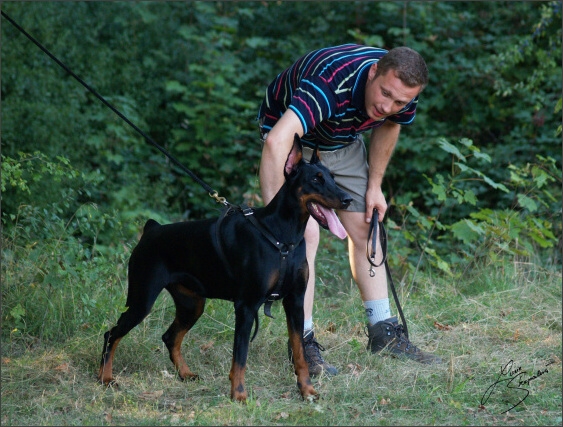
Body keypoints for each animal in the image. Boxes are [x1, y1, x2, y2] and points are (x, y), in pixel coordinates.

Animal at [98, 135, 352, 402]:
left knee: (170, 336)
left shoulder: (295, 301)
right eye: (315, 179)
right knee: (112, 334)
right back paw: (105, 377)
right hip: (142, 299)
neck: (283, 236)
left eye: (332, 177)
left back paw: (185, 374)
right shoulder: (246, 306)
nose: (348, 200)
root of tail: (151, 229)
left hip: (192, 303)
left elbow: (299, 351)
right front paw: (239, 394)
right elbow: (240, 355)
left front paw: (307, 390)